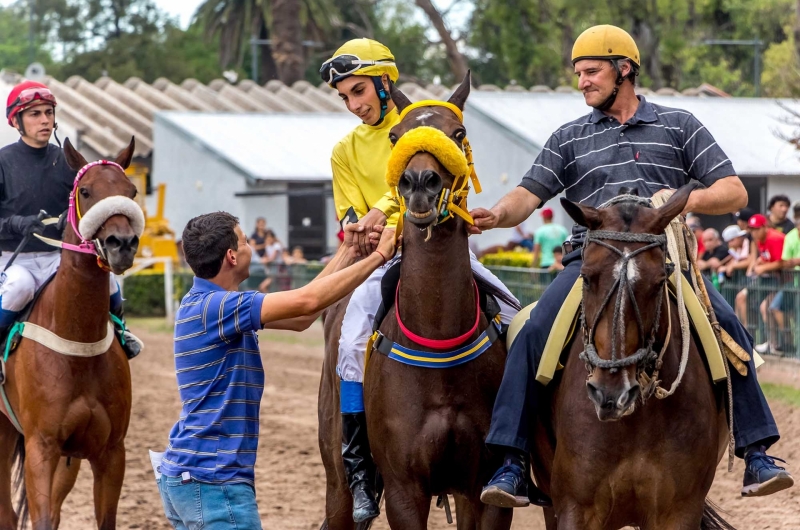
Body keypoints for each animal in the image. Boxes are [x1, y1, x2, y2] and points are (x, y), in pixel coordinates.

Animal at [0, 137, 140, 528]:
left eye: (132, 191)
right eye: (86, 191)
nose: (122, 244)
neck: (78, 344)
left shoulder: (109, 451)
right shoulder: (41, 446)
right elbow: (42, 518)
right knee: (7, 511)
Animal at [316, 75, 516, 528]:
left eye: (457, 133)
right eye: (396, 137)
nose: (420, 182)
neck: (438, 339)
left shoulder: (481, 489)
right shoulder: (404, 490)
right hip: (337, 481)